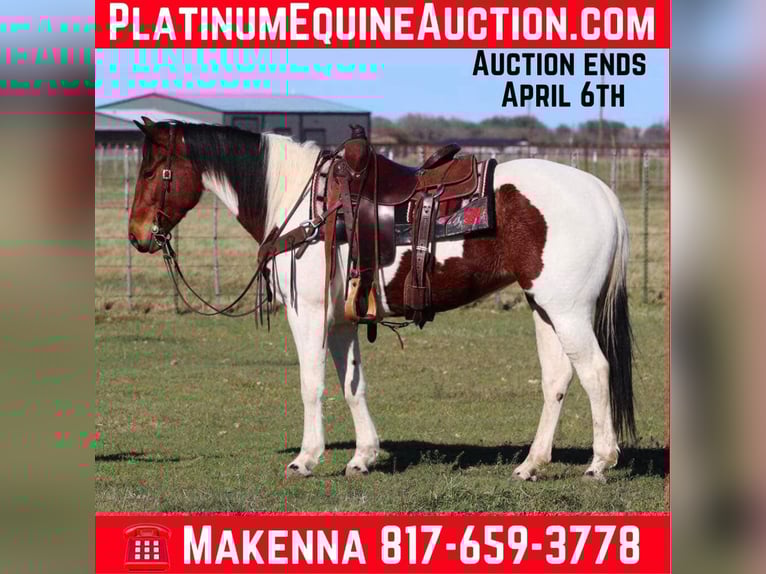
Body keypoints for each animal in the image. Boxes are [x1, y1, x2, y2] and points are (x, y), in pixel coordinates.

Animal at [128, 118, 635, 483]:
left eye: (151, 171)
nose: (136, 236)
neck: (302, 203)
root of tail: (601, 192)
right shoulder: (342, 321)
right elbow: (353, 385)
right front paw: (363, 457)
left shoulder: (308, 315)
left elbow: (311, 385)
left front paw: (306, 459)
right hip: (544, 309)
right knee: (557, 379)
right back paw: (531, 465)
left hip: (568, 311)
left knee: (596, 371)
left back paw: (600, 463)